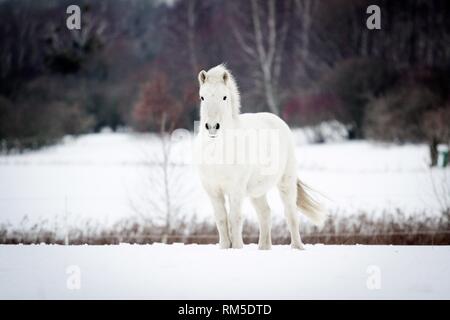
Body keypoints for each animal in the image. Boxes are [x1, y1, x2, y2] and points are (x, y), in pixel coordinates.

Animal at [195, 64, 326, 250]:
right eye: (202, 97)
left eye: (224, 97)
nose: (212, 127)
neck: (218, 152)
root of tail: (276, 120)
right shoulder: (213, 190)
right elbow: (221, 219)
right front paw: (224, 247)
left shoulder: (236, 190)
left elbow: (235, 218)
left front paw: (237, 247)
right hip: (257, 192)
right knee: (265, 214)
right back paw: (264, 248)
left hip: (286, 183)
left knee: (290, 214)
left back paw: (297, 247)